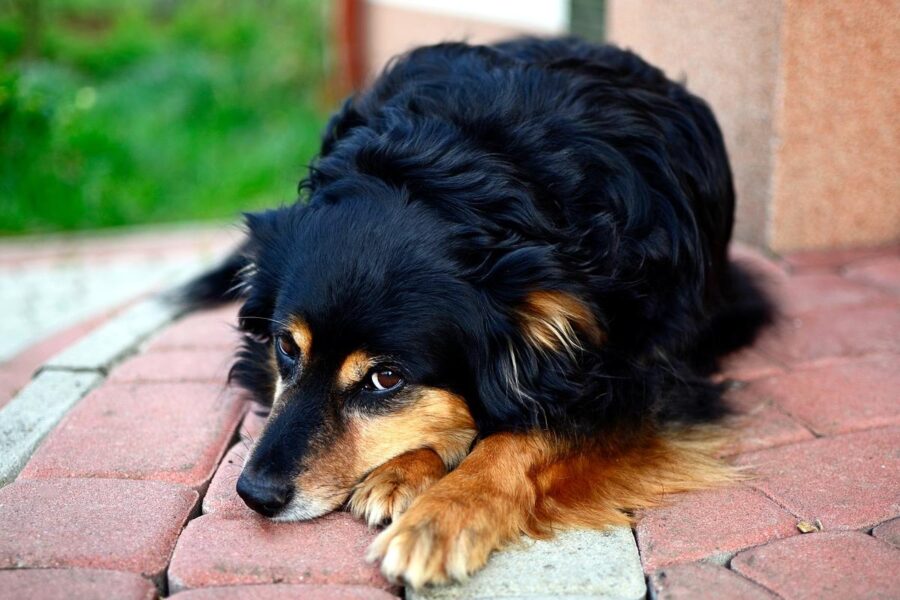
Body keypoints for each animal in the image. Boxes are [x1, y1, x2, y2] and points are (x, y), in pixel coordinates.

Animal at [181, 36, 772, 584]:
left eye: (386, 379)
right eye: (286, 346)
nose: (255, 493)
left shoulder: (651, 383)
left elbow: (529, 436)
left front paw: (440, 516)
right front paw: (406, 471)